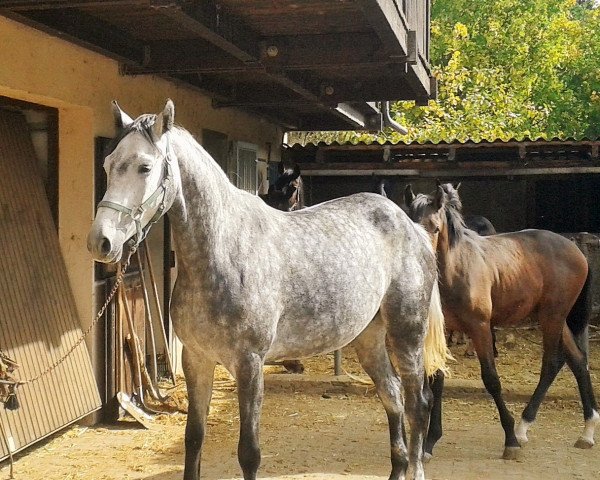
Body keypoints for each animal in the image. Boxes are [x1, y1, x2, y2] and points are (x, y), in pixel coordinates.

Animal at [86, 100, 448, 480]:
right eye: (108, 164)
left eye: (145, 167)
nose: (101, 242)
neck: (223, 251)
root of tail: (412, 229)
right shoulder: (196, 359)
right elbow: (194, 438)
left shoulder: (249, 364)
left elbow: (249, 453)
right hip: (369, 339)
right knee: (392, 396)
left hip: (407, 334)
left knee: (417, 404)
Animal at [406, 181, 596, 462]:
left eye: (435, 227)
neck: (458, 269)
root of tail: (576, 250)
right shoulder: (445, 330)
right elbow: (437, 380)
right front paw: (429, 443)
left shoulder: (480, 328)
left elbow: (492, 380)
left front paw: (510, 441)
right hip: (555, 318)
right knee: (578, 361)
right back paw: (587, 431)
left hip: (552, 317)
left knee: (552, 363)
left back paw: (523, 428)